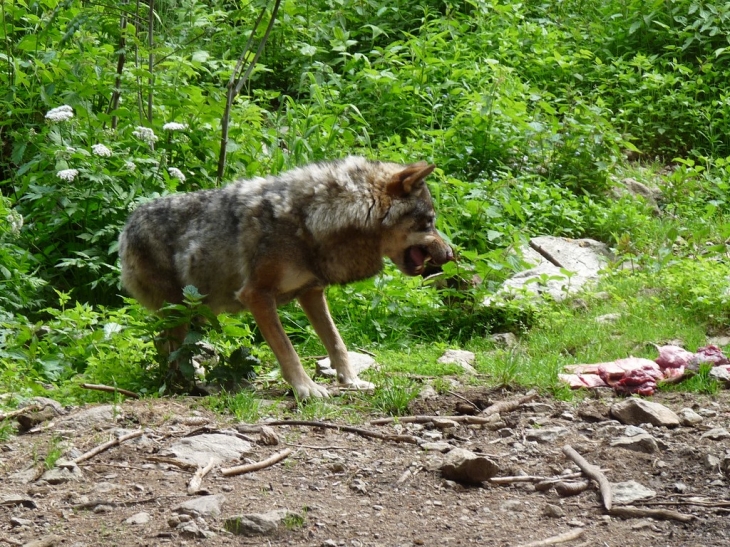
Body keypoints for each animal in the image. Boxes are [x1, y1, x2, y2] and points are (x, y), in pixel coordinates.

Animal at [116, 156, 452, 400]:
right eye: (429, 222)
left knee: (167, 345)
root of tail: (128, 223)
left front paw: (351, 382)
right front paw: (307, 389)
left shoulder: (312, 292)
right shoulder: (256, 295)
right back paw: (183, 385)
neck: (313, 220)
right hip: (180, 312)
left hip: (194, 311)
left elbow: (337, 343)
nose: (451, 254)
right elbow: (287, 349)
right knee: (169, 348)